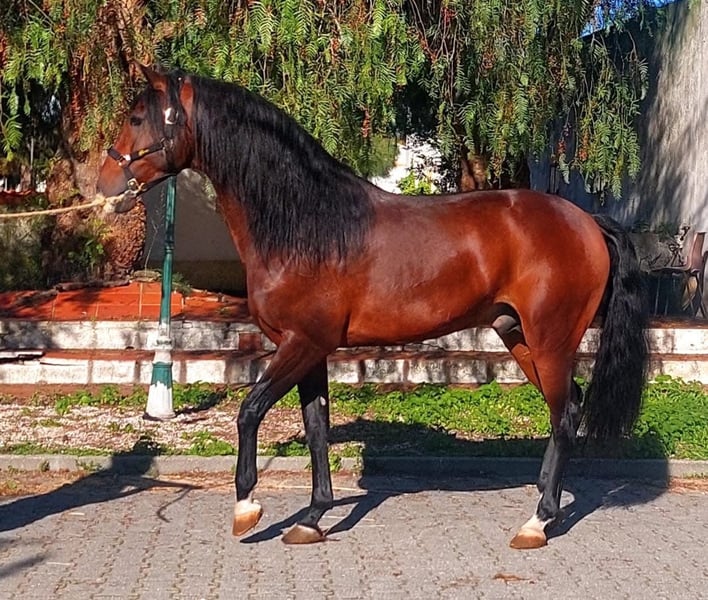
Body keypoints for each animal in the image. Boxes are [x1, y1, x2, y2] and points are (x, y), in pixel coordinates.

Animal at [97, 64, 648, 550]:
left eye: (138, 117)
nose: (104, 184)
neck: (309, 224)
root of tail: (587, 222)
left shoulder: (300, 344)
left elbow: (249, 411)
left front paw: (246, 507)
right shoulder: (310, 351)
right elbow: (316, 429)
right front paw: (312, 518)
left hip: (550, 340)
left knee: (564, 415)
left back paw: (537, 522)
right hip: (519, 336)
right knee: (567, 407)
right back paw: (542, 507)